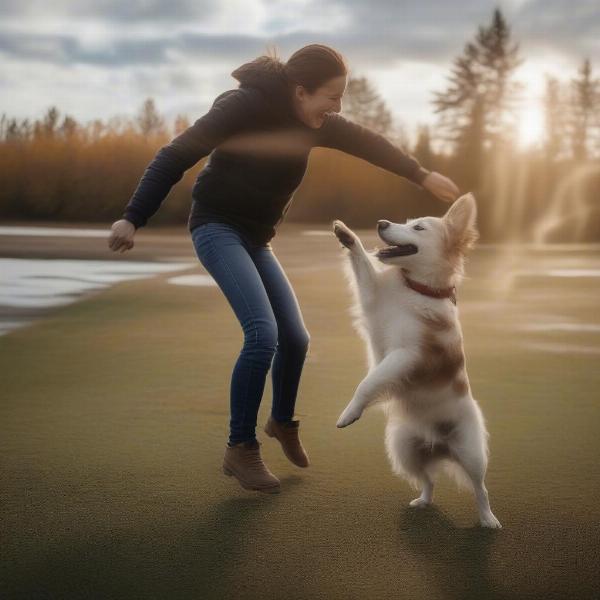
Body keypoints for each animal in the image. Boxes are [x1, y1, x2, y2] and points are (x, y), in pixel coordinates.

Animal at [332, 195, 502, 528]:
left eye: (418, 227)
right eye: (405, 221)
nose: (381, 223)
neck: (417, 290)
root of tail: (439, 446)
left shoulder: (405, 355)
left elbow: (367, 383)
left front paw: (349, 413)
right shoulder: (374, 312)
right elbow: (363, 264)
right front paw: (346, 234)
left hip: (472, 454)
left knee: (481, 488)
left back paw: (488, 519)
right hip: (404, 451)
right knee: (428, 480)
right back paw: (423, 501)